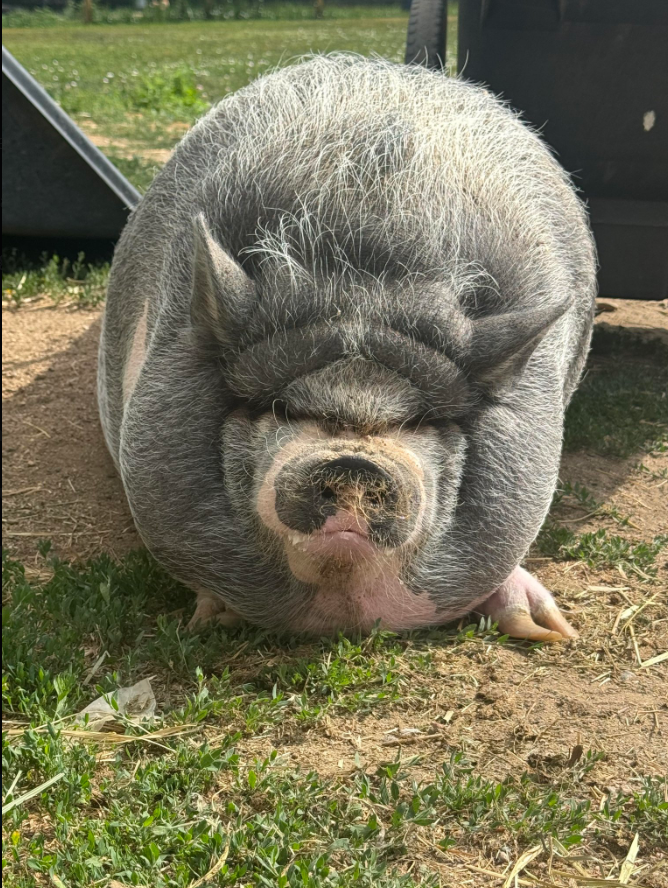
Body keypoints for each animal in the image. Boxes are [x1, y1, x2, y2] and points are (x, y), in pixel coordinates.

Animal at [98, 55, 596, 640]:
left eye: (420, 423)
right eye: (279, 408)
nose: (355, 465)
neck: (365, 284)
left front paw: (552, 631)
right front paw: (208, 618)